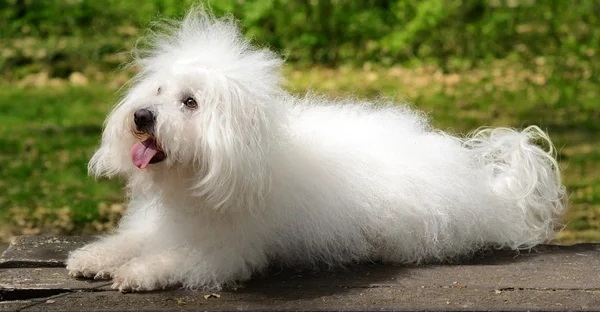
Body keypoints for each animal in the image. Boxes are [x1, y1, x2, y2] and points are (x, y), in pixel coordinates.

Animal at [67, 9, 568, 292]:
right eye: (156, 90)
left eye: (190, 102)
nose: (142, 117)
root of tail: (485, 189)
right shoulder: (158, 225)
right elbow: (128, 240)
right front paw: (92, 259)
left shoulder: (225, 249)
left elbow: (174, 260)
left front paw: (135, 274)